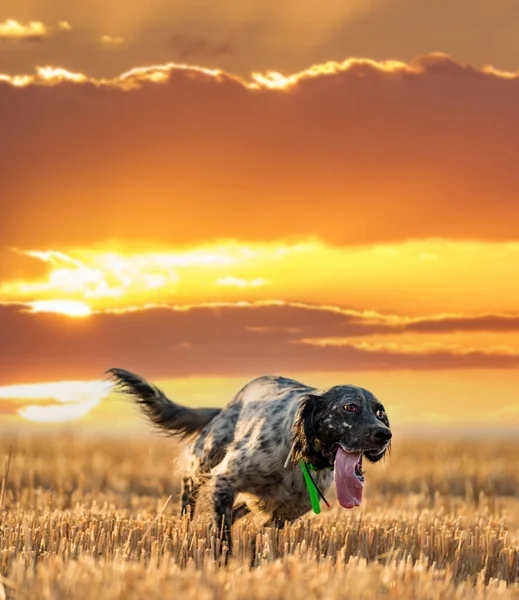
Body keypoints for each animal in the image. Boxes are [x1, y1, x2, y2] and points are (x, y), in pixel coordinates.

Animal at [107, 368, 392, 556]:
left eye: (379, 412)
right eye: (350, 407)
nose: (385, 434)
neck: (298, 458)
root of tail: (229, 403)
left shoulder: (286, 512)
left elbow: (260, 533)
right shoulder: (224, 480)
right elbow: (224, 536)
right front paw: (223, 562)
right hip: (205, 456)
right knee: (189, 488)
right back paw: (184, 527)